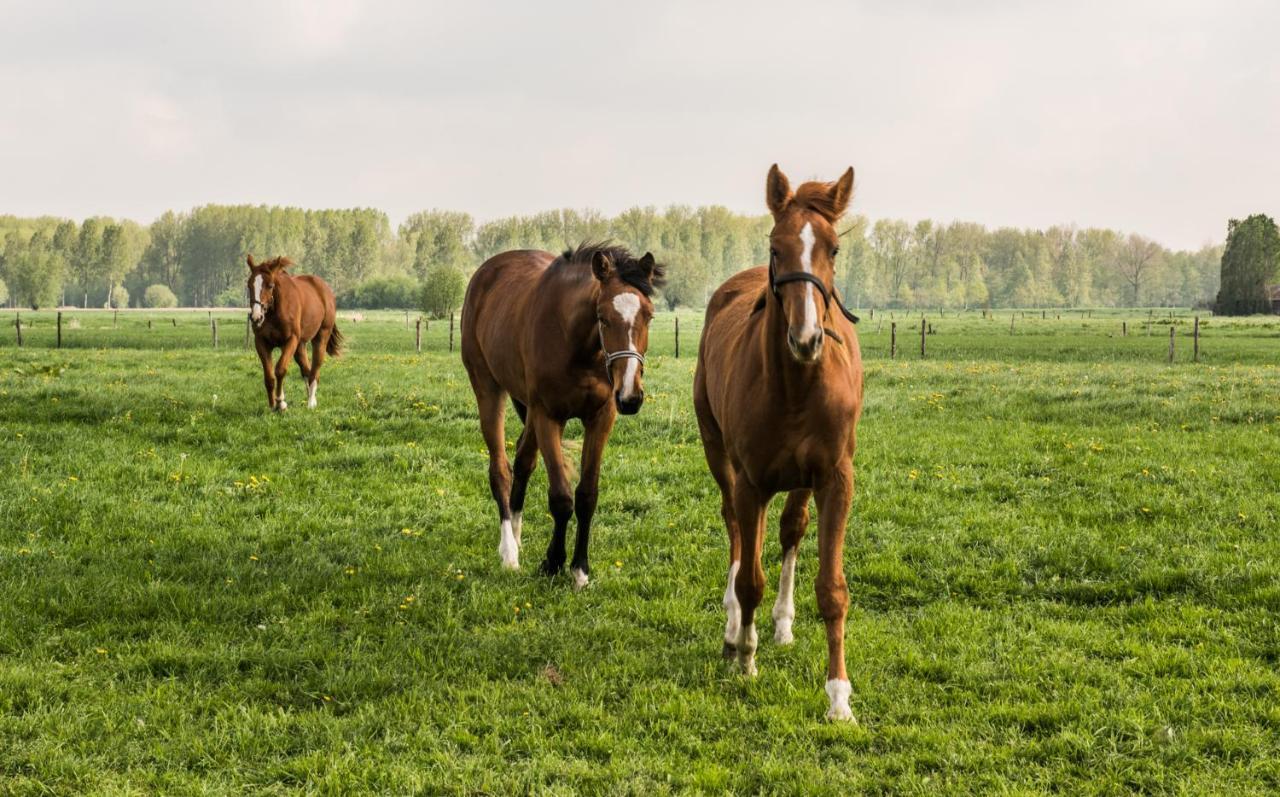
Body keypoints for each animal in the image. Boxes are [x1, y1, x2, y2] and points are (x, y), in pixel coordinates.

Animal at [244, 255, 343, 414]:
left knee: (315, 369)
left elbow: (280, 369)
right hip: (300, 346)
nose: (256, 317)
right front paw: (272, 405)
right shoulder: (261, 342)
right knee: (306, 370)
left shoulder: (291, 340)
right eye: (249, 285)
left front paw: (281, 403)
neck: (274, 311)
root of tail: (325, 290)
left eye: (270, 285)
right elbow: (269, 376)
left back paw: (311, 403)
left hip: (320, 337)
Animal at [460, 241, 665, 585]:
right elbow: (561, 497)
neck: (576, 345)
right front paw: (553, 562)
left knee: (523, 461)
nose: (630, 396)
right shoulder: (547, 416)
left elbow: (586, 496)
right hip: (488, 389)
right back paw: (509, 552)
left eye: (648, 315)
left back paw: (518, 534)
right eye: (602, 317)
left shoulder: (600, 418)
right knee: (500, 469)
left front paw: (580, 568)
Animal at [696, 163, 865, 721]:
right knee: (737, 532)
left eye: (833, 248)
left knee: (790, 530)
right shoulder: (750, 480)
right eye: (776, 247)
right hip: (721, 457)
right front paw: (745, 657)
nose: (806, 338)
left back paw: (783, 623)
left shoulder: (834, 479)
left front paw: (838, 698)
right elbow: (749, 575)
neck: (795, 387)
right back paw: (735, 630)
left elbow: (832, 589)